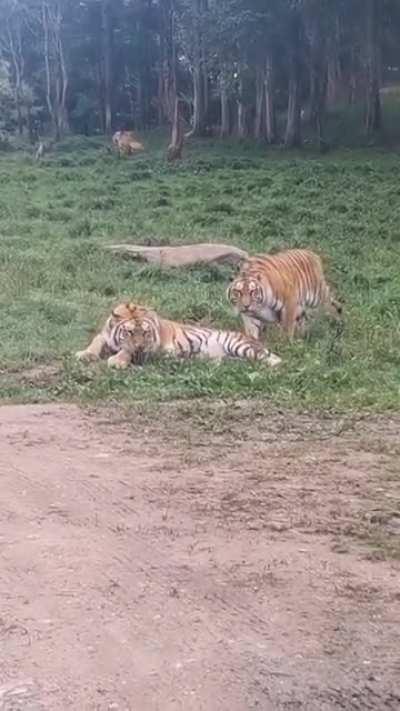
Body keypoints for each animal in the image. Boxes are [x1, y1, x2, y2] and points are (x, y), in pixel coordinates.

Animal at [104, 310, 282, 369]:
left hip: (238, 345)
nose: (140, 346)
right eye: (130, 332)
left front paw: (117, 361)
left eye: (146, 333)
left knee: (274, 359)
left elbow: (128, 351)